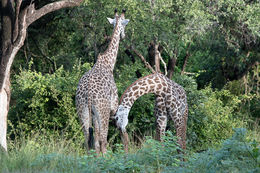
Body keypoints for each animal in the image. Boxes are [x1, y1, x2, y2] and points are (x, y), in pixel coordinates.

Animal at [76, 9, 130, 154]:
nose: (123, 36)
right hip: (102, 112)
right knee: (103, 140)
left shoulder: (94, 114)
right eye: (125, 25)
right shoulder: (113, 108)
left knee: (88, 140)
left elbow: (95, 140)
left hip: (83, 112)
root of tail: (88, 94)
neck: (108, 63)